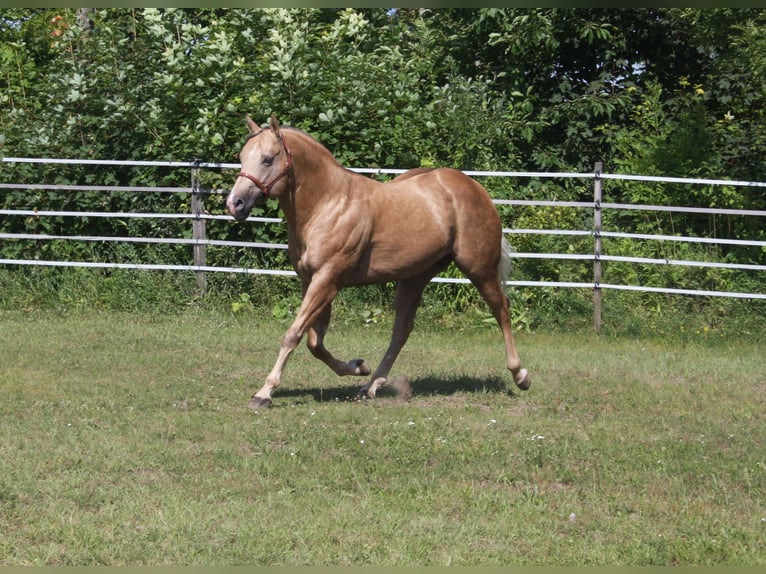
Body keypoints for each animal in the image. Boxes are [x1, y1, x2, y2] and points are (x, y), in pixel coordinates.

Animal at [226, 114, 530, 408]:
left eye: (268, 158)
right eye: (242, 156)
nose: (235, 204)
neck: (327, 204)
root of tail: (475, 187)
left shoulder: (327, 280)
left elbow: (294, 334)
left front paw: (263, 394)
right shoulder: (311, 281)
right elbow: (315, 342)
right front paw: (358, 366)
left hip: (480, 269)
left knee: (502, 310)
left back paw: (520, 375)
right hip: (415, 277)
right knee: (402, 330)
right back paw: (370, 386)